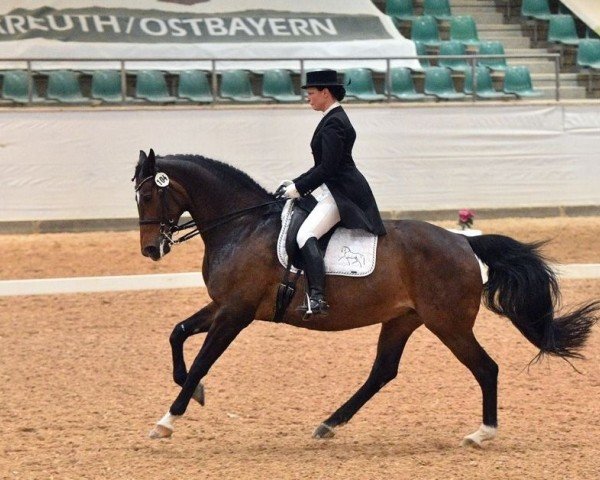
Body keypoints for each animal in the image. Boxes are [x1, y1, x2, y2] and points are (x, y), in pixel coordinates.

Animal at [134, 149, 596, 446]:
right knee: (382, 372)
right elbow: (177, 334)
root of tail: (465, 242)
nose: (151, 251)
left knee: (485, 368)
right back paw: (328, 425)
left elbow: (201, 361)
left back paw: (483, 434)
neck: (242, 226)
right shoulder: (224, 305)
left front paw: (167, 420)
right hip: (403, 319)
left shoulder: (236, 312)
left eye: (150, 194)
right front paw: (195, 394)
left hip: (448, 324)